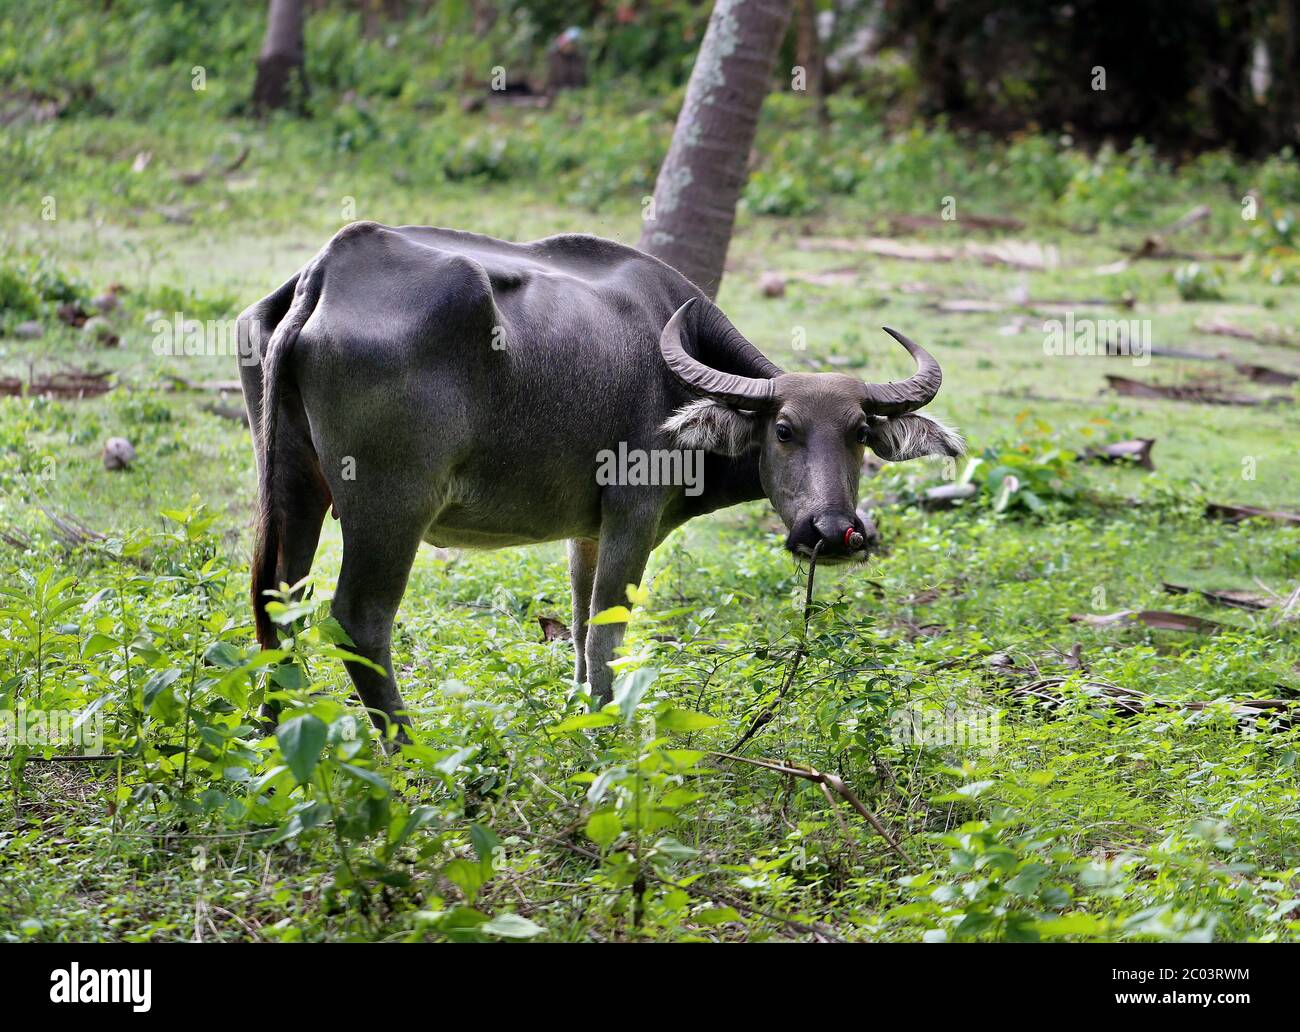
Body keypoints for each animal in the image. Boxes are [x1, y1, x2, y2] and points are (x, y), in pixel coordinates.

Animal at [239, 220, 961, 727]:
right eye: (783, 430)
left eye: (860, 434)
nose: (833, 531)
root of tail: (327, 274)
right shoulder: (633, 513)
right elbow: (609, 631)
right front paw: (607, 729)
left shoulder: (585, 530)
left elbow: (582, 627)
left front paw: (579, 715)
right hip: (390, 507)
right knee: (359, 619)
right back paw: (408, 748)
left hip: (295, 487)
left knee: (279, 602)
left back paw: (277, 730)